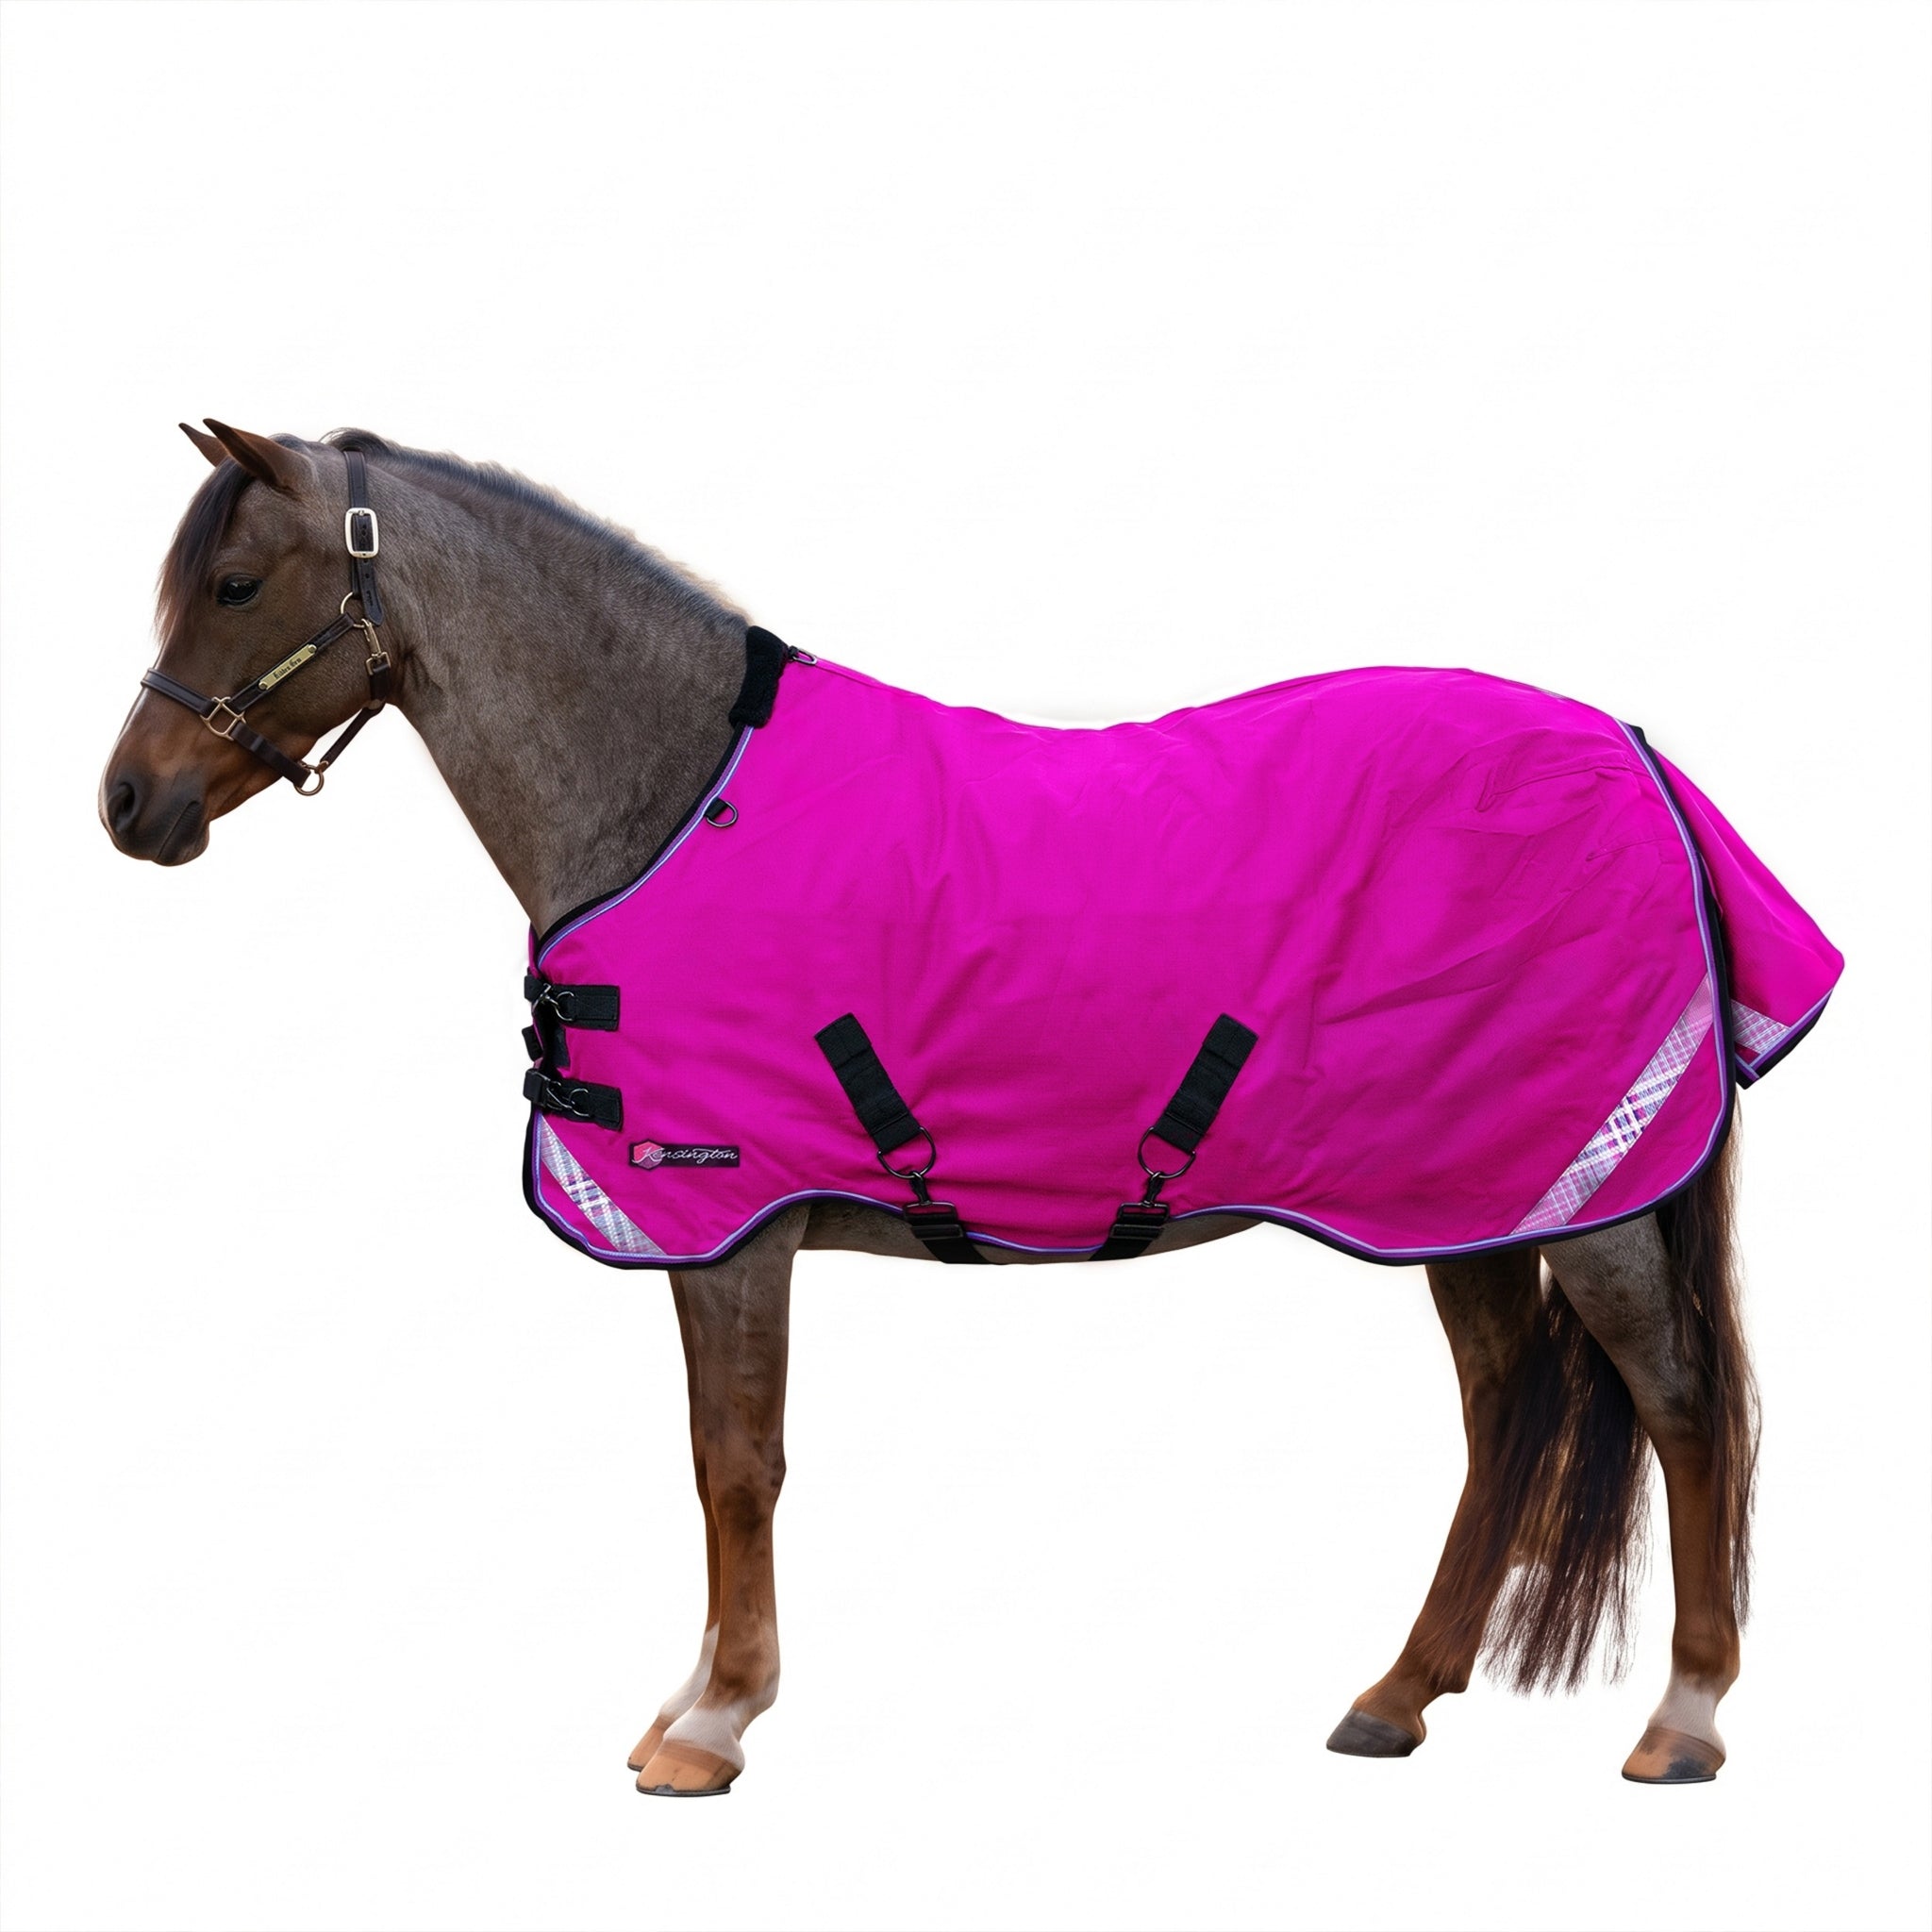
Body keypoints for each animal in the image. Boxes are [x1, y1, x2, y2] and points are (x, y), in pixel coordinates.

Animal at [100, 419, 1829, 1797]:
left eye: (236, 583)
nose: (130, 804)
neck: (668, 796)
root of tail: (1632, 754)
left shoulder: (732, 1217)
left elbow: (738, 1459)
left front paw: (713, 1723)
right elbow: (714, 1455)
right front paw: (693, 1698)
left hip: (1586, 1196)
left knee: (1680, 1407)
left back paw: (1682, 1716)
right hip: (1462, 1198)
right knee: (1503, 1412)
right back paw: (1396, 1697)